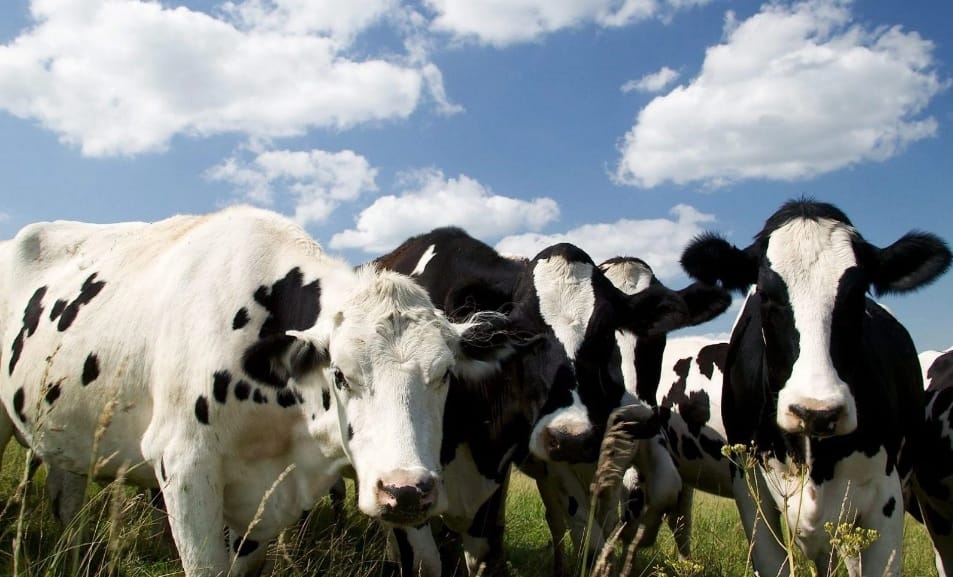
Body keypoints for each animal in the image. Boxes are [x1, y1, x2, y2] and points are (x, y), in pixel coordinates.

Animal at [0, 206, 518, 577]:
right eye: (340, 375)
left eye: (445, 374)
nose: (406, 492)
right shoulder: (183, 464)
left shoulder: (262, 505)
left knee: (66, 500)